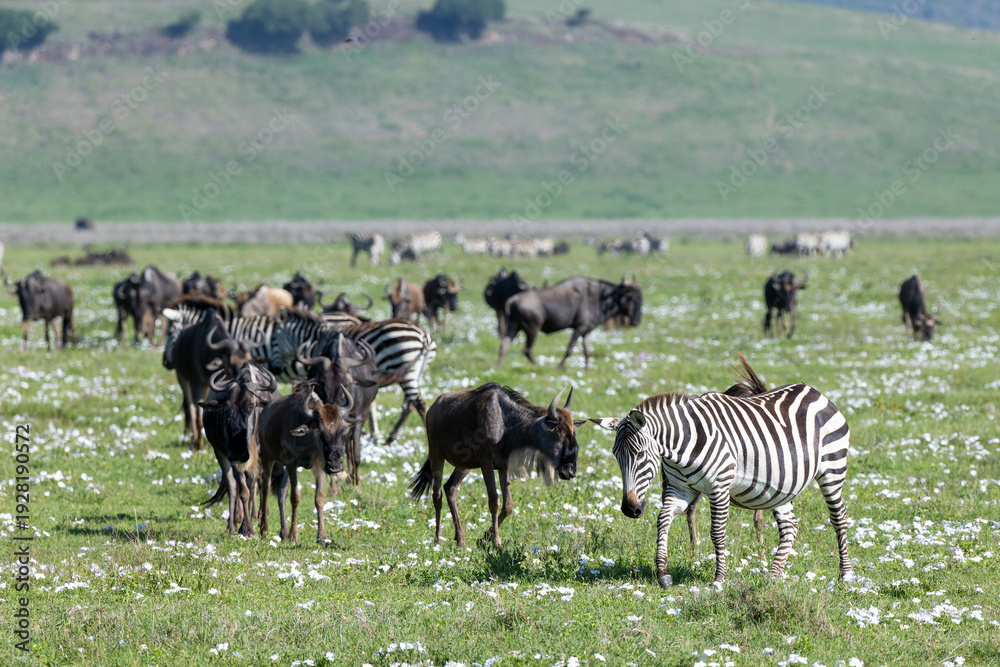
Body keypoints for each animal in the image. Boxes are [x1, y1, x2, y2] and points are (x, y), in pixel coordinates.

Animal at [590, 355, 853, 588]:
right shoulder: (680, 488)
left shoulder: (719, 487)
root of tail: (812, 390)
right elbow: (662, 520)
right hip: (781, 484)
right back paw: (773, 576)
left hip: (832, 469)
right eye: (616, 456)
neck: (681, 448)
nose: (630, 509)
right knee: (790, 526)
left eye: (640, 455)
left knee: (839, 518)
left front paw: (720, 578)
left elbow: (717, 532)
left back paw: (846, 576)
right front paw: (663, 573)